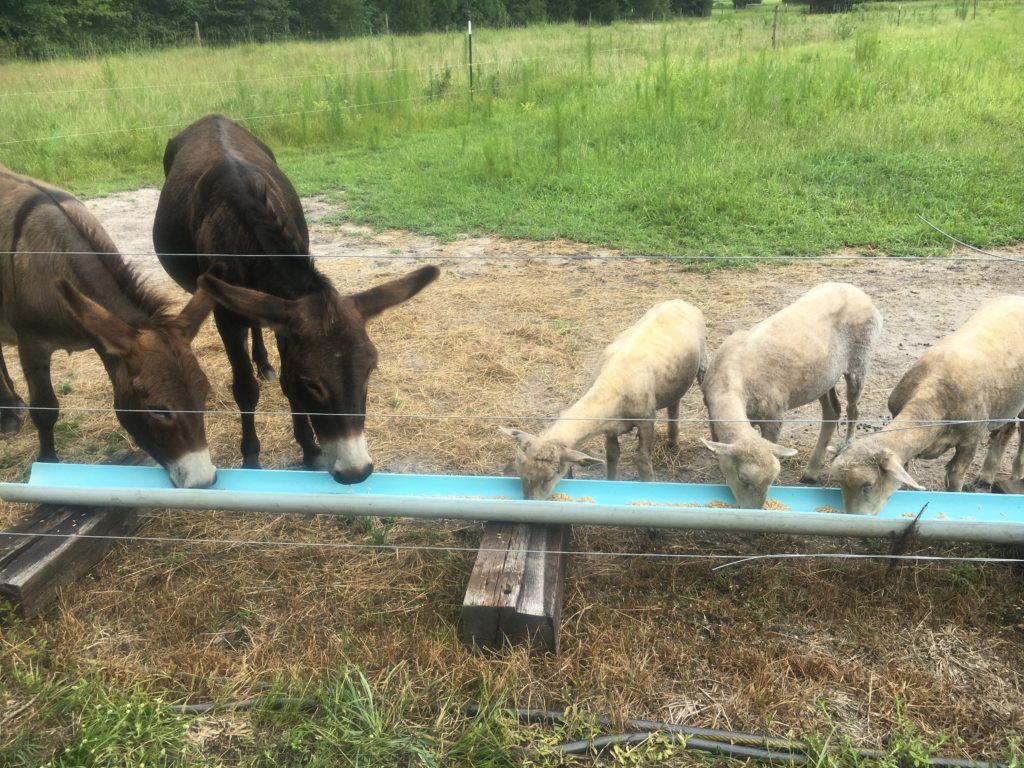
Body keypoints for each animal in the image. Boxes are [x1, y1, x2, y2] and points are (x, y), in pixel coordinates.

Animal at [502, 299, 707, 500]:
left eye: (549, 477)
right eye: (520, 473)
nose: (530, 503)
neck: (611, 385)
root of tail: (679, 301)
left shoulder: (646, 420)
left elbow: (642, 463)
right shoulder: (610, 427)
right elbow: (612, 457)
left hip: (702, 361)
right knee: (675, 402)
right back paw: (672, 441)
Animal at [700, 282, 882, 509]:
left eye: (772, 481)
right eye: (743, 479)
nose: (755, 512)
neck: (731, 380)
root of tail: (855, 290)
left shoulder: (773, 417)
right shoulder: (712, 416)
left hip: (859, 361)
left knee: (853, 410)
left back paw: (845, 449)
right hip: (822, 378)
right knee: (832, 411)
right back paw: (811, 472)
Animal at [832, 294, 1024, 515]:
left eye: (868, 486)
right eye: (840, 484)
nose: (855, 517)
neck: (932, 398)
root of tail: (1017, 297)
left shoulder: (970, 439)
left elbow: (954, 477)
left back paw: (1015, 474)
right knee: (1004, 431)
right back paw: (986, 476)